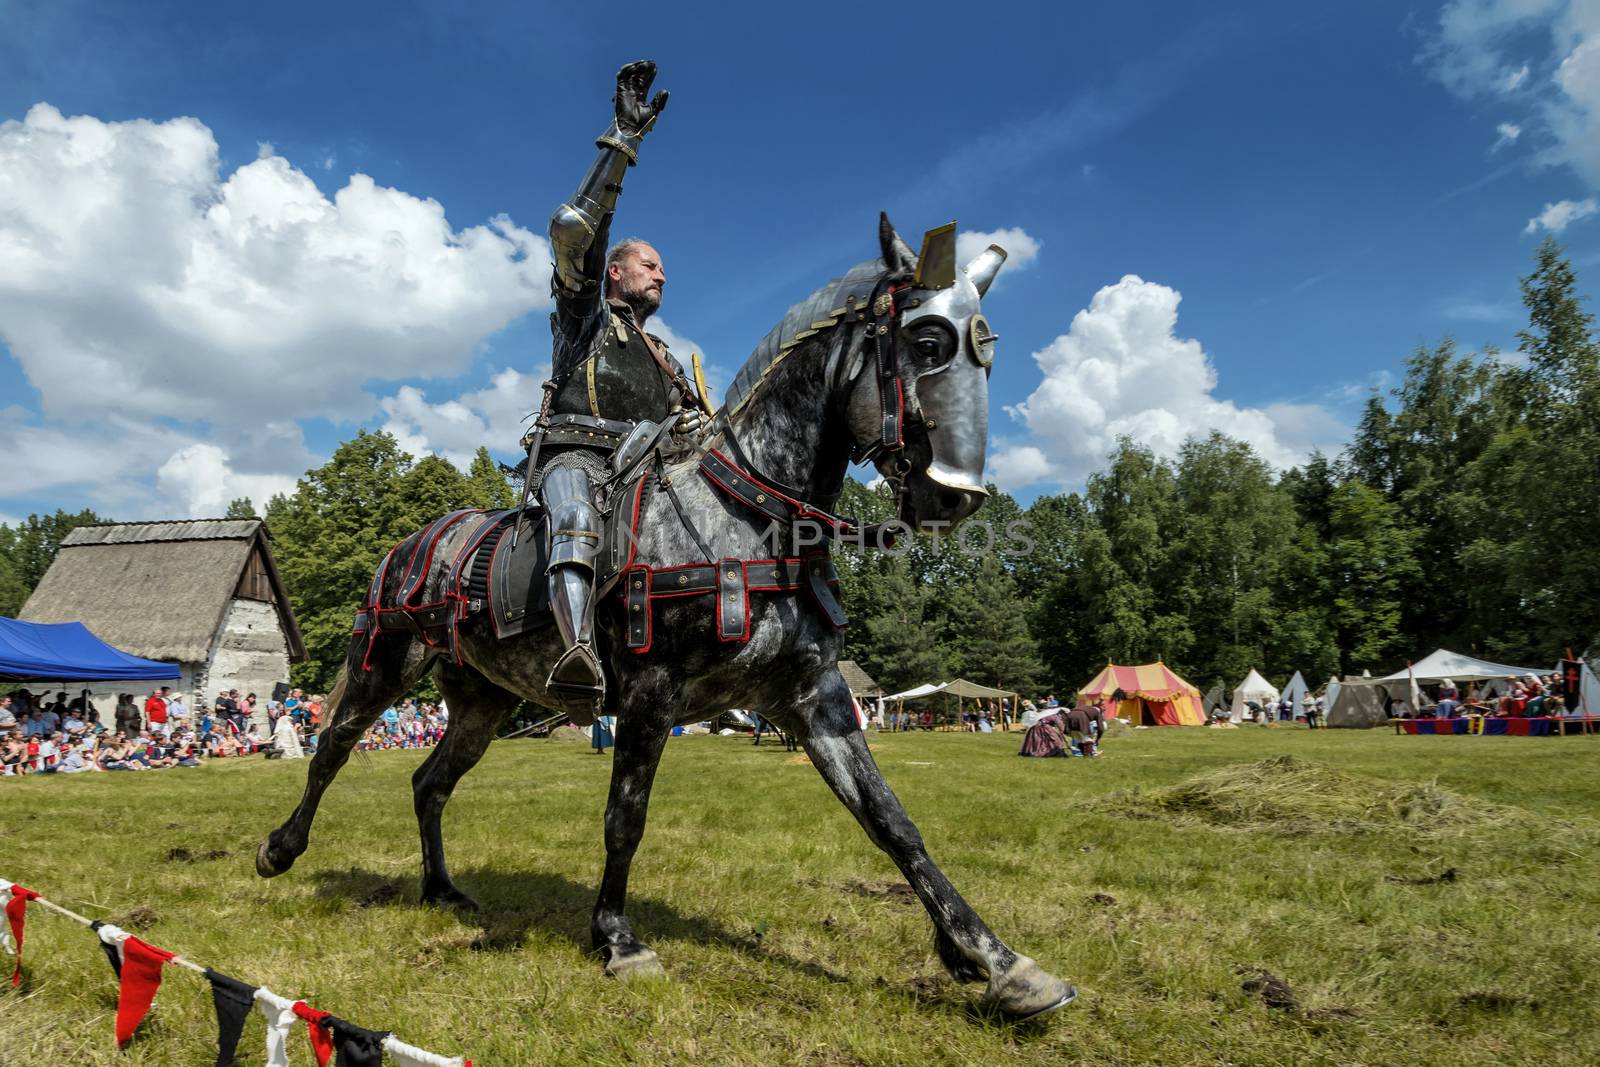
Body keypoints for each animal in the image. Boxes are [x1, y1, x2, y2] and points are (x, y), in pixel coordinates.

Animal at [256, 214, 1075, 1017]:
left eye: (987, 354)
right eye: (929, 343)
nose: (954, 497)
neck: (751, 516)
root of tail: (411, 545)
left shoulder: (815, 699)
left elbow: (892, 821)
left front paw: (998, 962)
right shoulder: (652, 693)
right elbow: (626, 817)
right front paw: (619, 938)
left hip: (483, 702)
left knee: (430, 783)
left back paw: (440, 888)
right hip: (383, 665)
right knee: (332, 747)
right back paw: (281, 848)